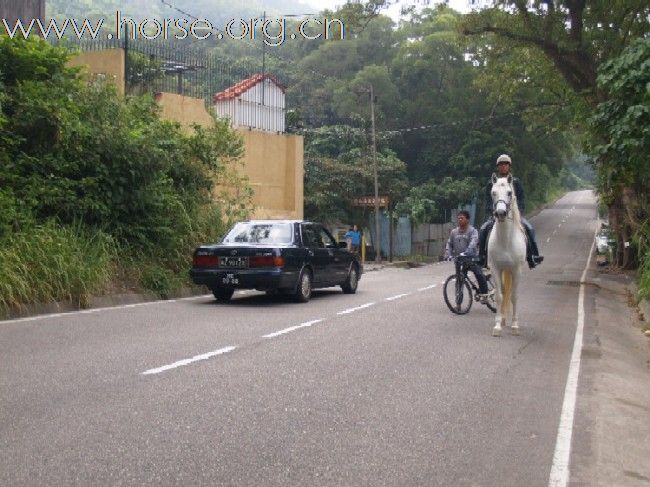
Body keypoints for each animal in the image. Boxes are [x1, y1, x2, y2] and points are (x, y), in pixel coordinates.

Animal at [486, 173, 528, 338]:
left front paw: (515, 325)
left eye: (510, 193)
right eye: (493, 193)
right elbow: (499, 296)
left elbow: (514, 296)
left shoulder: (517, 270)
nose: (501, 213)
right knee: (504, 292)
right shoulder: (495, 268)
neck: (505, 240)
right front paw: (497, 326)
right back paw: (503, 319)